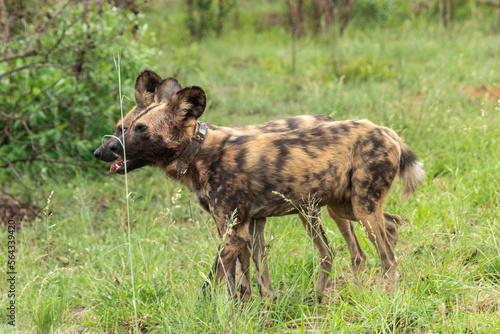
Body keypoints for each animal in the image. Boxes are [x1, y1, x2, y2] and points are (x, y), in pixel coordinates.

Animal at [107, 83, 424, 300]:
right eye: (124, 128)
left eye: (139, 129)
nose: (106, 149)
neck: (199, 153)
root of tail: (384, 130)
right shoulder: (239, 229)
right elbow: (243, 284)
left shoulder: (234, 232)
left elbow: (211, 285)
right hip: (345, 207)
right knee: (391, 226)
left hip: (358, 208)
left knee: (387, 258)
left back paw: (384, 298)